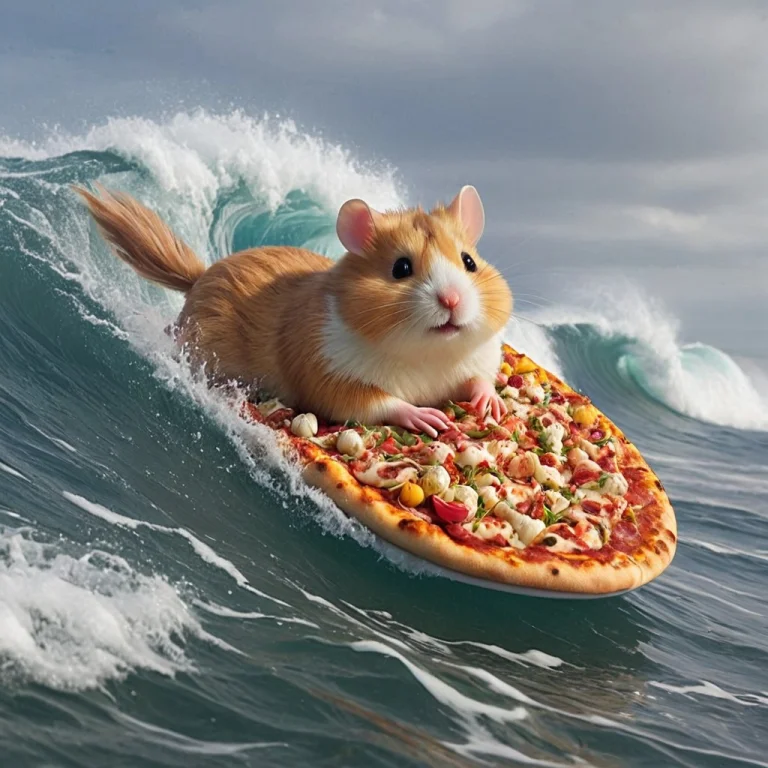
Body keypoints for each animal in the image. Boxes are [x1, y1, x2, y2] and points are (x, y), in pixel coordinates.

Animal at [75, 184, 513, 436]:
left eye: (469, 261)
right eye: (400, 268)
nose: (452, 300)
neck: (428, 355)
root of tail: (199, 277)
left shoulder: (479, 359)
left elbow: (480, 380)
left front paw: (489, 404)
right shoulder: (329, 376)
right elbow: (375, 404)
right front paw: (426, 418)